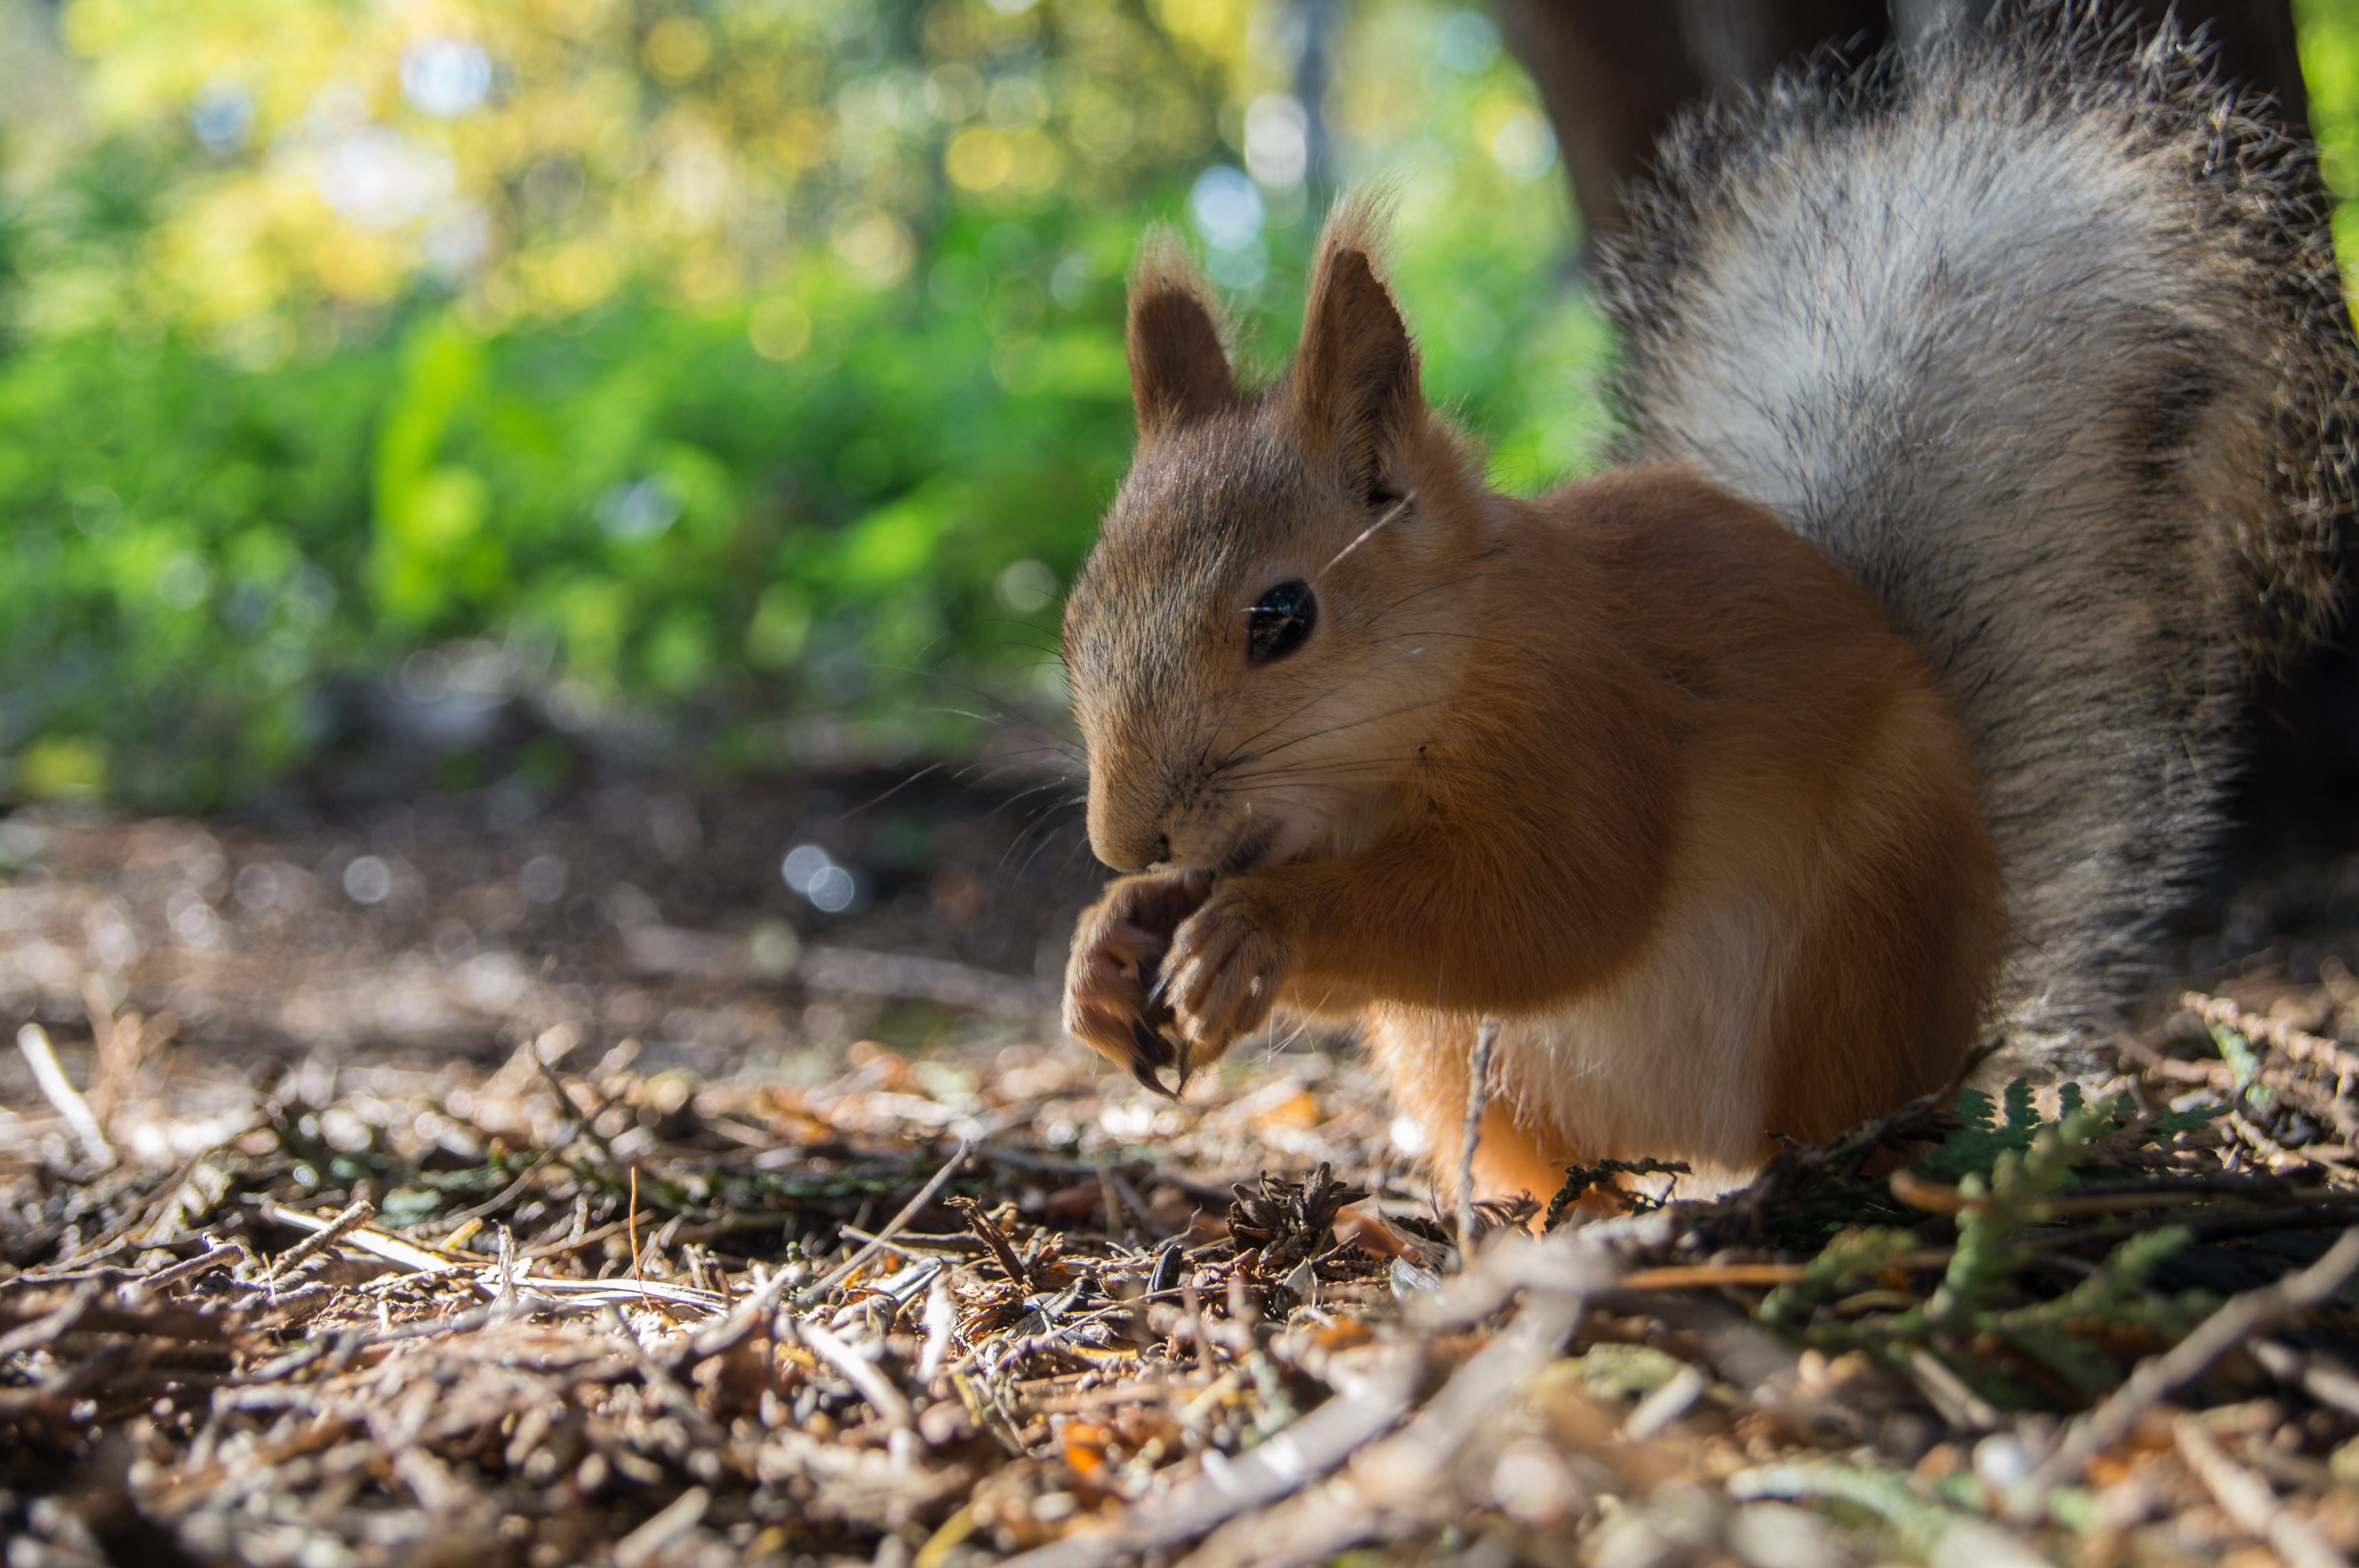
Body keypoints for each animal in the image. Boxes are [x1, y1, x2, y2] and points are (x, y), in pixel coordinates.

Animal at [1066, 9, 2359, 1197]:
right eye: (1077, 623)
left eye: (1281, 619)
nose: (1122, 840)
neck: (1440, 682)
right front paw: (1112, 941)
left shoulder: (1589, 727)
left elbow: (1553, 910)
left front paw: (1257, 927)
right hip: (1453, 1061)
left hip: (1865, 939)